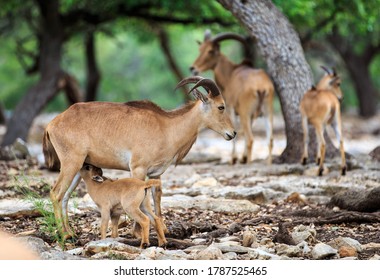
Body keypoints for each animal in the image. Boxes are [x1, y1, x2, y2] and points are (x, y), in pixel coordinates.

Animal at [43, 76, 236, 238]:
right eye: (221, 106)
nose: (232, 133)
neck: (167, 127)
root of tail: (52, 124)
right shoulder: (138, 168)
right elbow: (140, 199)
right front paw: (137, 232)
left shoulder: (156, 173)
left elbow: (156, 197)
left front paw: (163, 230)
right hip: (71, 163)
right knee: (56, 193)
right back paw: (64, 235)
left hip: (79, 168)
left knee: (65, 197)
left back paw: (70, 233)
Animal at [191, 30, 274, 166]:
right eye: (200, 48)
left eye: (210, 51)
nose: (193, 68)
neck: (230, 74)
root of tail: (261, 86)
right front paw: (242, 158)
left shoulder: (231, 108)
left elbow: (235, 133)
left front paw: (234, 159)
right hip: (267, 112)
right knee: (270, 139)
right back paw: (268, 163)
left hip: (245, 113)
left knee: (250, 139)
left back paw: (249, 163)